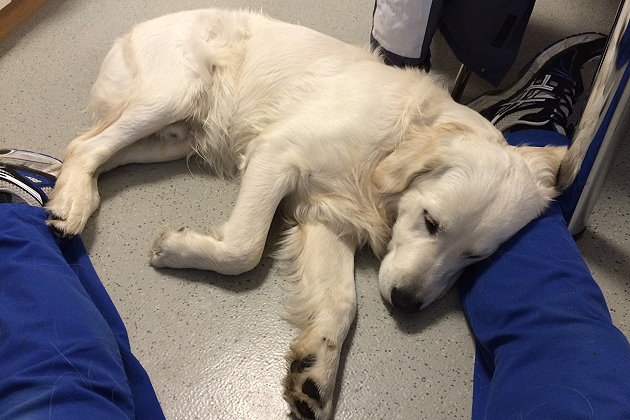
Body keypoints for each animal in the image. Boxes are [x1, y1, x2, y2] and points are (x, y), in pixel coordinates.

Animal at [46, 9, 567, 419]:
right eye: (430, 222)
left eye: (474, 258)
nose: (406, 302)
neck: (392, 144)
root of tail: (136, 27)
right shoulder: (277, 154)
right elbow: (245, 248)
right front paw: (176, 247)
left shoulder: (328, 218)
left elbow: (340, 303)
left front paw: (315, 373)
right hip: (174, 94)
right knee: (84, 144)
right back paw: (70, 204)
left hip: (173, 137)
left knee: (96, 152)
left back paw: (74, 192)